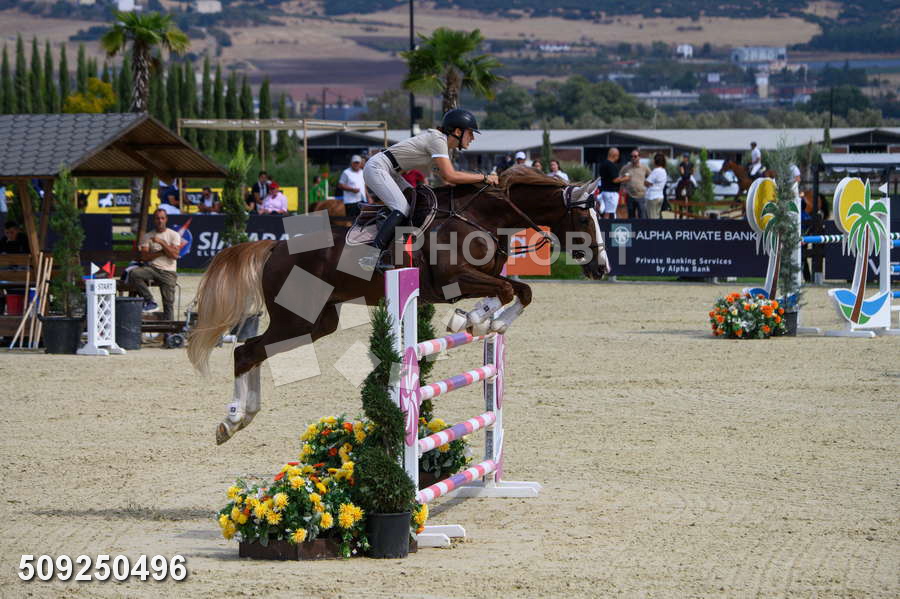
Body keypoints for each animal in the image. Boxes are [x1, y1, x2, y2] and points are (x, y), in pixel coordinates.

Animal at [187, 166, 609, 445]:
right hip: (295, 318)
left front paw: (481, 321)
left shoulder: (479, 278)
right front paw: (479, 320)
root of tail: (274, 247)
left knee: (254, 351)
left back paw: (241, 418)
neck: (482, 218)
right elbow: (510, 291)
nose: (602, 268)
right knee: (245, 351)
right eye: (584, 219)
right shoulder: (455, 278)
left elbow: (517, 291)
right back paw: (232, 420)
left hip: (316, 323)